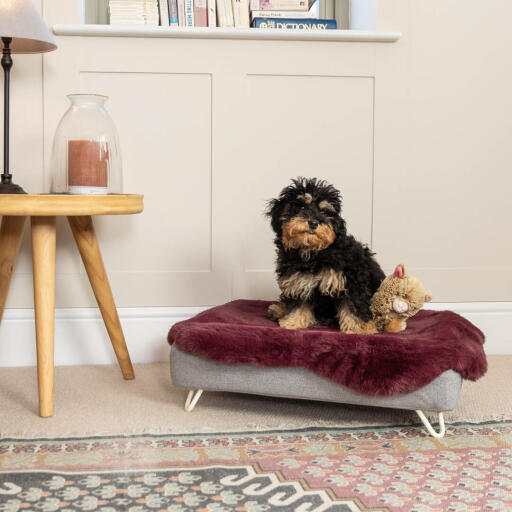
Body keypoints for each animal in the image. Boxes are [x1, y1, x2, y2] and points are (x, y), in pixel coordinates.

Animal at [268, 178, 384, 334]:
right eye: (301, 207)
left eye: (324, 211)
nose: (313, 222)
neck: (313, 253)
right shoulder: (298, 280)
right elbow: (299, 302)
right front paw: (292, 321)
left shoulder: (350, 279)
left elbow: (353, 304)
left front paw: (359, 328)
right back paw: (278, 310)